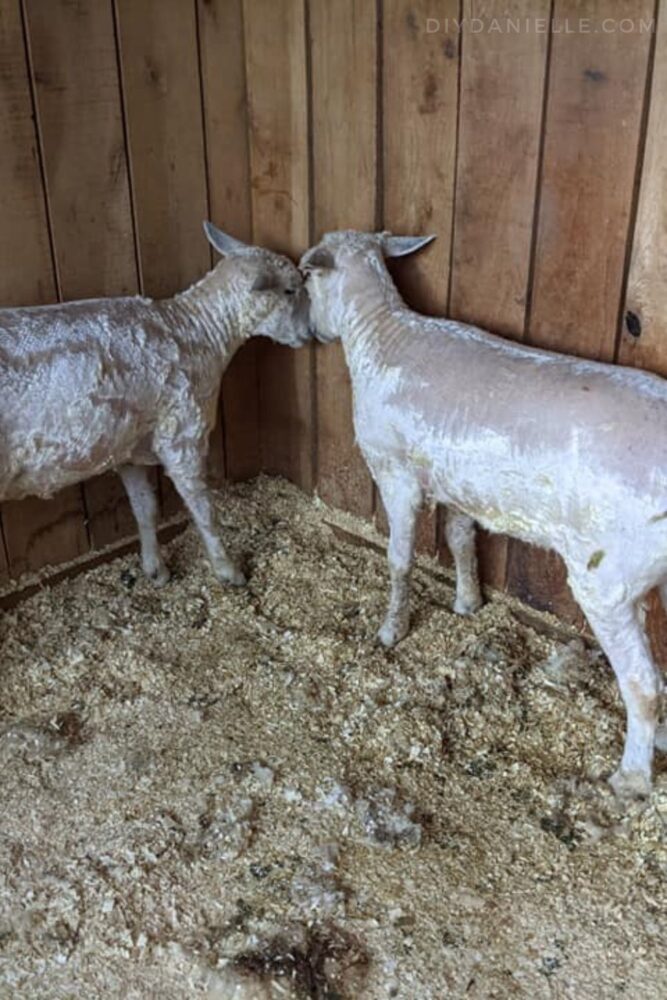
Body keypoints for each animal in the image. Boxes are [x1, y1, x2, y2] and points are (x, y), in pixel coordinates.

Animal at [0, 221, 314, 584]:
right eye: (290, 291)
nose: (310, 333)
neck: (198, 330)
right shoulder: (181, 433)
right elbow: (204, 509)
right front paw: (227, 569)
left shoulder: (128, 445)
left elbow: (145, 508)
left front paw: (155, 568)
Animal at [302, 229, 667, 796]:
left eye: (305, 278)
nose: (311, 333)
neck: (380, 334)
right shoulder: (459, 485)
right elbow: (459, 539)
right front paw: (467, 602)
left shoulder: (396, 474)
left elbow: (399, 560)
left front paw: (390, 631)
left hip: (608, 576)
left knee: (642, 683)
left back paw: (630, 778)